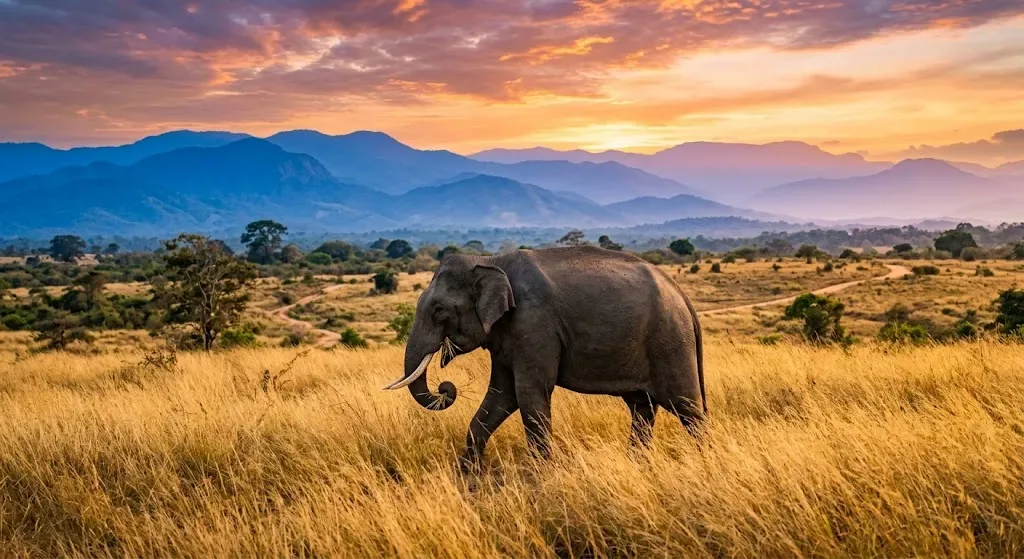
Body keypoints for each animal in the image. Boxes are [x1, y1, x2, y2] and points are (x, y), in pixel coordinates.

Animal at [383, 246, 706, 468]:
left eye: (438, 310)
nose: (446, 387)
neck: (490, 260)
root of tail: (683, 297)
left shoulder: (534, 322)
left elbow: (528, 391)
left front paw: (541, 477)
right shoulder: (507, 332)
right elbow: (502, 395)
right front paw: (470, 476)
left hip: (670, 343)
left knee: (687, 407)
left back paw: (702, 461)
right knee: (642, 408)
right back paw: (637, 464)